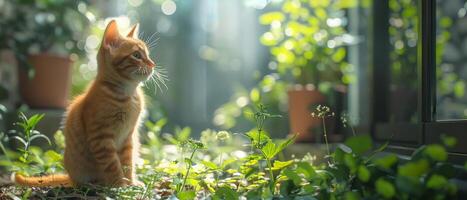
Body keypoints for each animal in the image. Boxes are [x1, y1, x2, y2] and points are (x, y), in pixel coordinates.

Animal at [12, 19, 154, 187]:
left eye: (148, 55)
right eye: (137, 55)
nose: (153, 64)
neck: (128, 94)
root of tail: (70, 176)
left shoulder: (128, 137)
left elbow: (127, 162)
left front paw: (130, 183)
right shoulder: (101, 138)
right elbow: (112, 164)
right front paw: (119, 185)